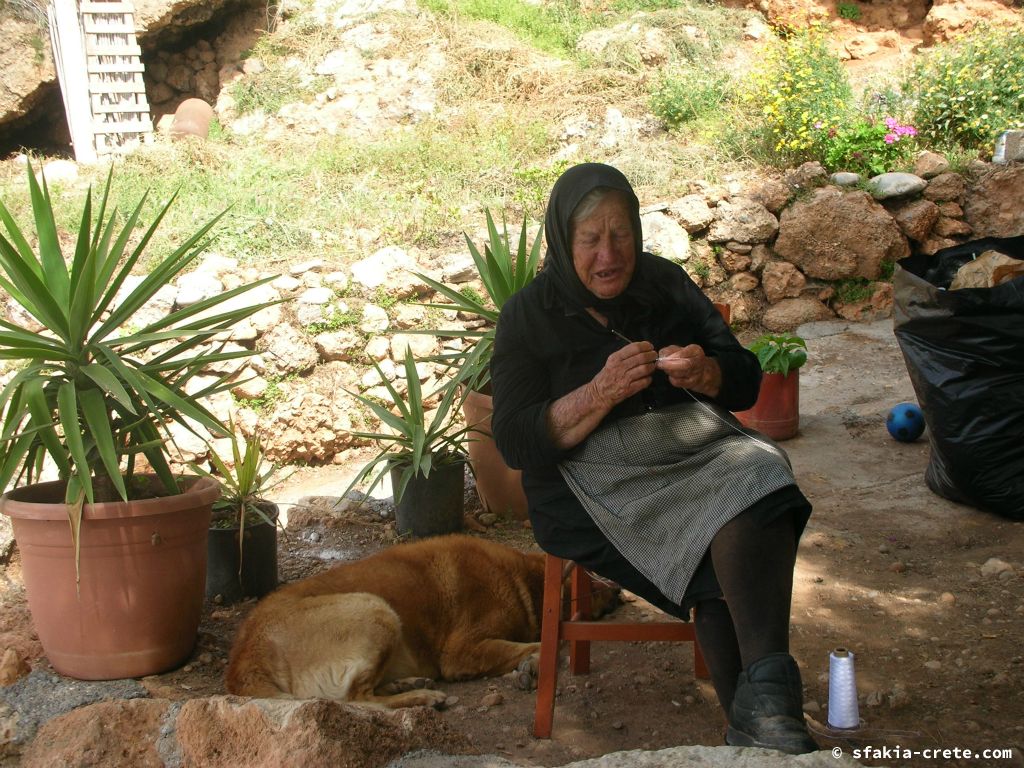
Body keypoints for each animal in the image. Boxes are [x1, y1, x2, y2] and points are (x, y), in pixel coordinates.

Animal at [228, 536, 557, 708]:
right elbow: (542, 645)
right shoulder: (462, 652)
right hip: (377, 610)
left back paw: (407, 684)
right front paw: (536, 661)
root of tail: (245, 657)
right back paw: (421, 696)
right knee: (356, 699)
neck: (520, 577)